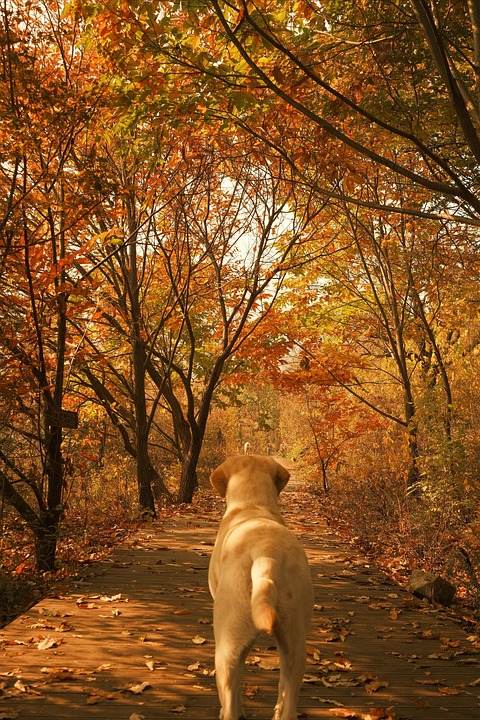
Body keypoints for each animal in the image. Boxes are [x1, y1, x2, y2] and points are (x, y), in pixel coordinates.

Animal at [207, 456, 314, 720]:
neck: (253, 504)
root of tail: (267, 552)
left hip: (226, 647)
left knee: (229, 703)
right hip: (295, 645)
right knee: (288, 698)